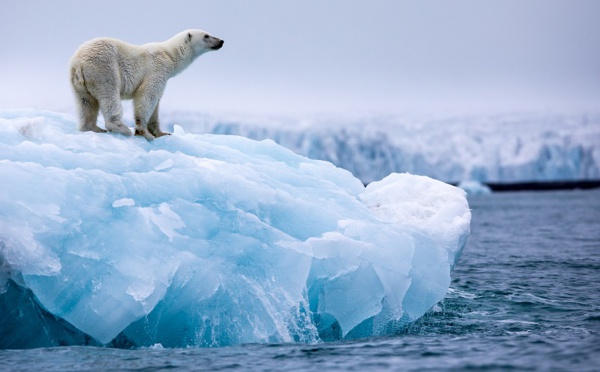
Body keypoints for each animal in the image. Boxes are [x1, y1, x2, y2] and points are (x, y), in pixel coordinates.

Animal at [68, 29, 223, 140]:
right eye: (206, 35)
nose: (221, 41)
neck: (169, 55)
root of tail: (78, 62)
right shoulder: (157, 70)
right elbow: (147, 97)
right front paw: (144, 133)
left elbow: (156, 105)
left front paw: (162, 133)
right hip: (104, 68)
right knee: (109, 95)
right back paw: (121, 128)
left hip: (79, 83)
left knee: (86, 102)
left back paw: (93, 128)